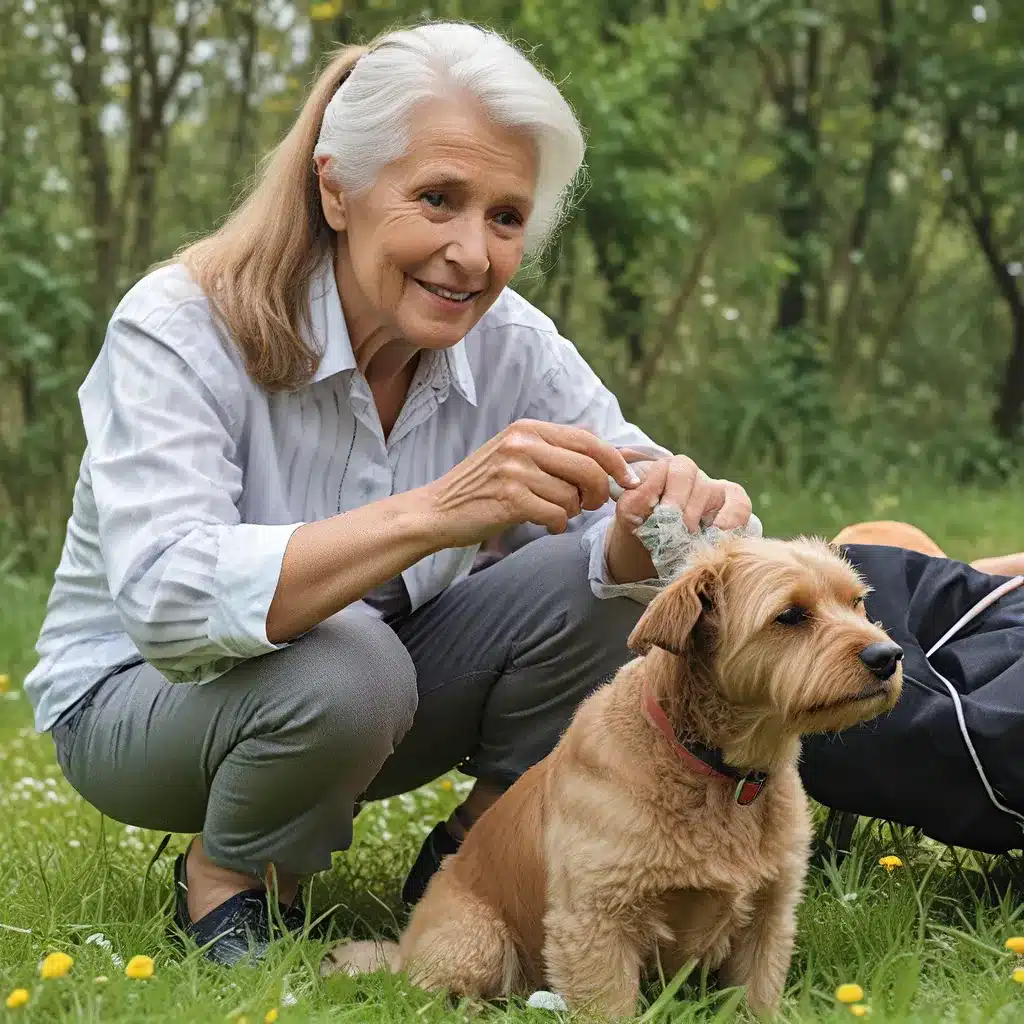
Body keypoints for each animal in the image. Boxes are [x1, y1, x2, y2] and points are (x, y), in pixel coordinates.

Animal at [325, 536, 905, 1015]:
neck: (718, 773)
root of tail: (403, 948)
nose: (889, 655)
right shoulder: (595, 922)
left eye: (856, 602)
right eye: (790, 615)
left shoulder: (769, 918)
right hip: (478, 942)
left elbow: (757, 1000)